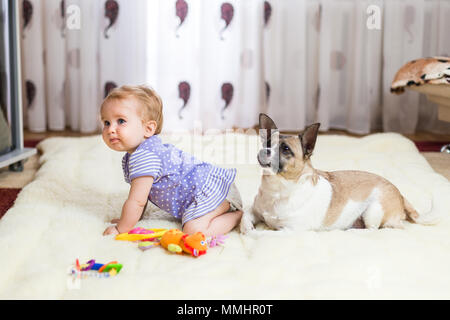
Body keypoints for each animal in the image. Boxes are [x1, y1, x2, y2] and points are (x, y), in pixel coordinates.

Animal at [241, 114, 424, 234]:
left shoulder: (289, 230)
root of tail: (400, 195)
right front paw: (247, 227)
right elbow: (244, 217)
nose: (264, 150)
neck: (277, 188)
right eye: (267, 143)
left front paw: (255, 233)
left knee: (374, 230)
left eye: (285, 149)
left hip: (373, 211)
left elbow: (264, 233)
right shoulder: (254, 211)